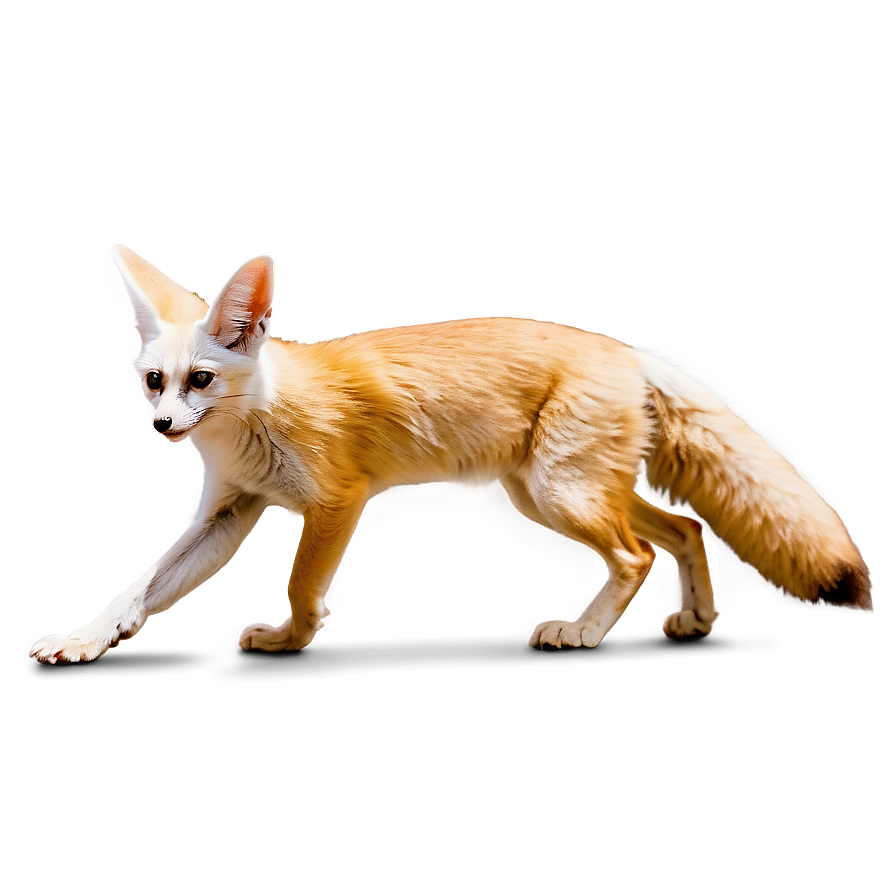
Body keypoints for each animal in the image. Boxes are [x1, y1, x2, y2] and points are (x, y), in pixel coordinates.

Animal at [30, 244, 871, 663]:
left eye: (200, 379)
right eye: (154, 381)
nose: (161, 426)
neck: (258, 417)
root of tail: (625, 348)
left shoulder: (336, 501)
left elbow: (301, 585)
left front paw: (292, 638)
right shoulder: (231, 513)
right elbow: (138, 589)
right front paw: (84, 640)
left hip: (562, 497)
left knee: (635, 556)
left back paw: (585, 633)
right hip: (552, 494)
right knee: (686, 529)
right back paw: (696, 617)